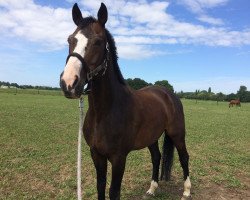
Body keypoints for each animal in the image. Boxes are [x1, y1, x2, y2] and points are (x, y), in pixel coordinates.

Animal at [59, 3, 191, 200]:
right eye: (70, 40)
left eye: (98, 42)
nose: (69, 83)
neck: (104, 112)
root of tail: (169, 94)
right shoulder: (96, 154)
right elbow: (100, 186)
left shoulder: (119, 157)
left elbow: (114, 191)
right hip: (152, 136)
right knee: (156, 157)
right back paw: (152, 189)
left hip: (177, 133)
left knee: (184, 157)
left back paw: (187, 191)